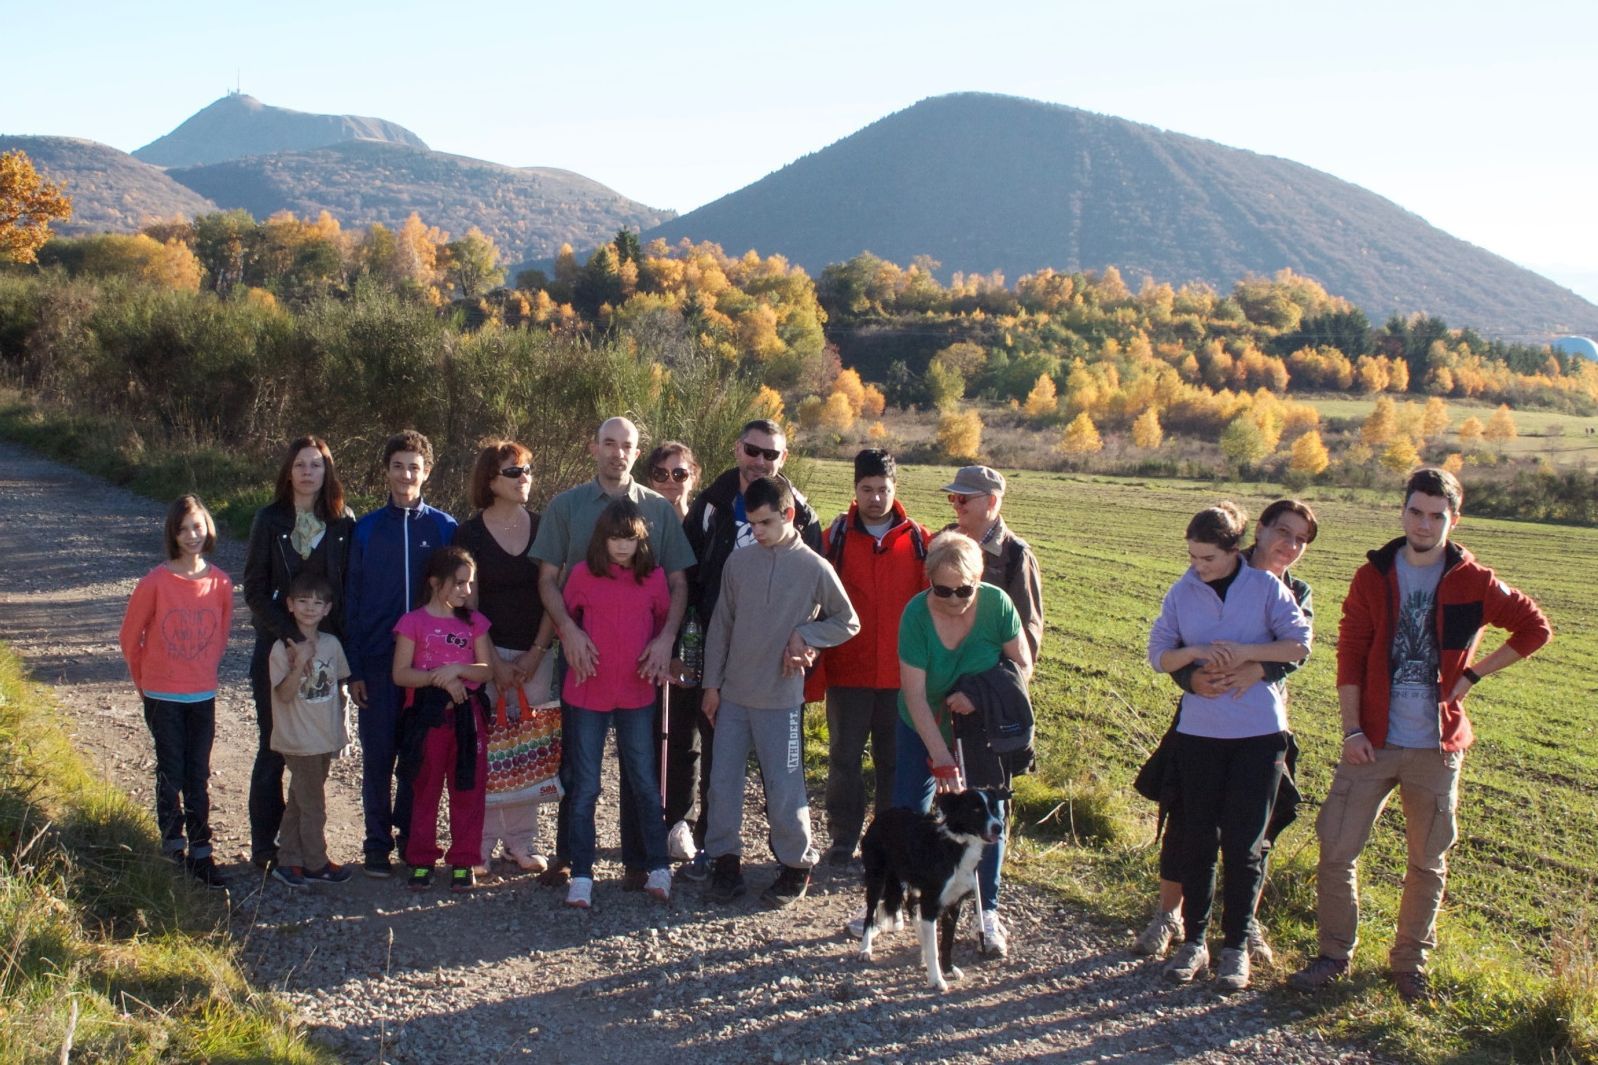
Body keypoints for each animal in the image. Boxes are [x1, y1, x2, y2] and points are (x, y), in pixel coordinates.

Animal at [856, 783, 1003, 991]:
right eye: (975, 810)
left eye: (994, 809)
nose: (999, 827)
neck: (957, 845)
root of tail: (882, 815)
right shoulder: (932, 900)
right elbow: (935, 947)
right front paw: (936, 979)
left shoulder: (954, 904)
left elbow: (946, 943)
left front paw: (948, 969)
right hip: (877, 878)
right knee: (870, 914)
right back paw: (865, 949)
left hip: (913, 885)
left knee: (911, 907)